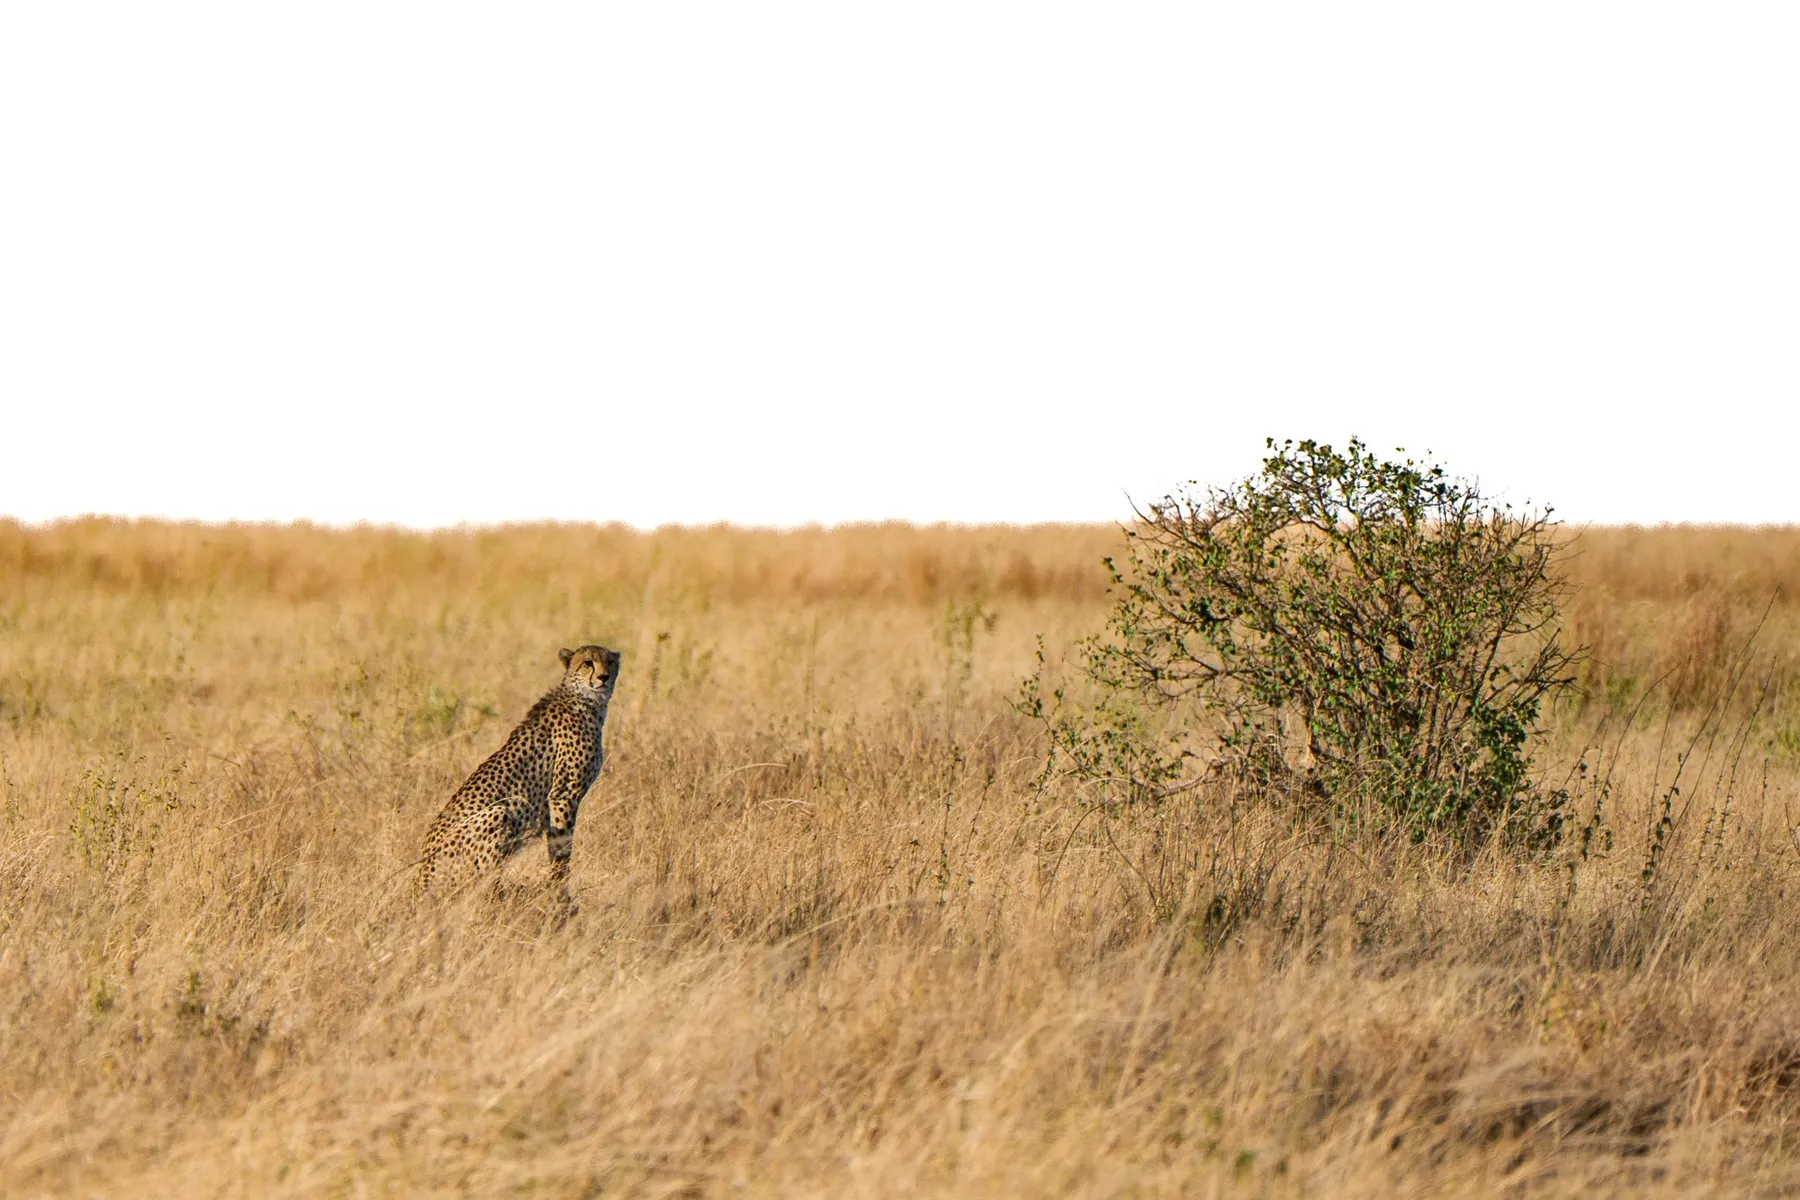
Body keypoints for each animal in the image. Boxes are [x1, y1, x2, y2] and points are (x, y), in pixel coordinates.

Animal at [415, 644, 622, 905]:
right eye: (588, 663)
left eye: (610, 662)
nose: (603, 677)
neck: (585, 700)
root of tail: (419, 880)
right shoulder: (562, 796)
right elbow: (562, 850)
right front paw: (561, 893)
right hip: (502, 810)